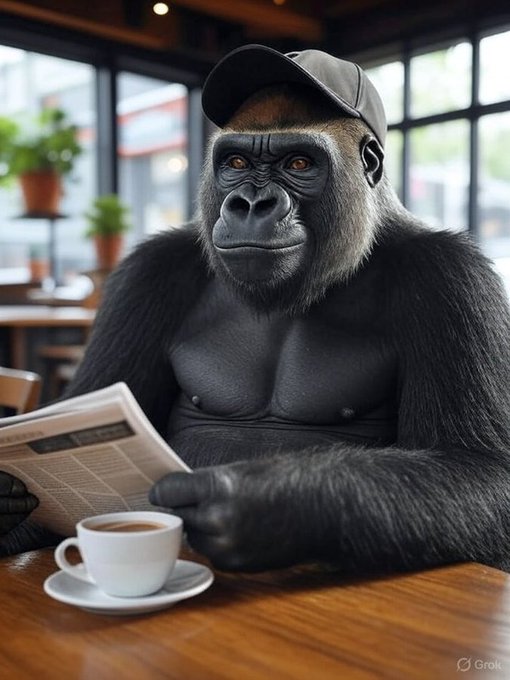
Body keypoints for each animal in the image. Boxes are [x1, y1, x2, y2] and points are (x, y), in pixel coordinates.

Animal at [1, 45, 510, 575]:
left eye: (300, 162)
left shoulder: (453, 277)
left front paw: (265, 504)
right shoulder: (146, 275)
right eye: (237, 161)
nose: (249, 203)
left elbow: (479, 469)